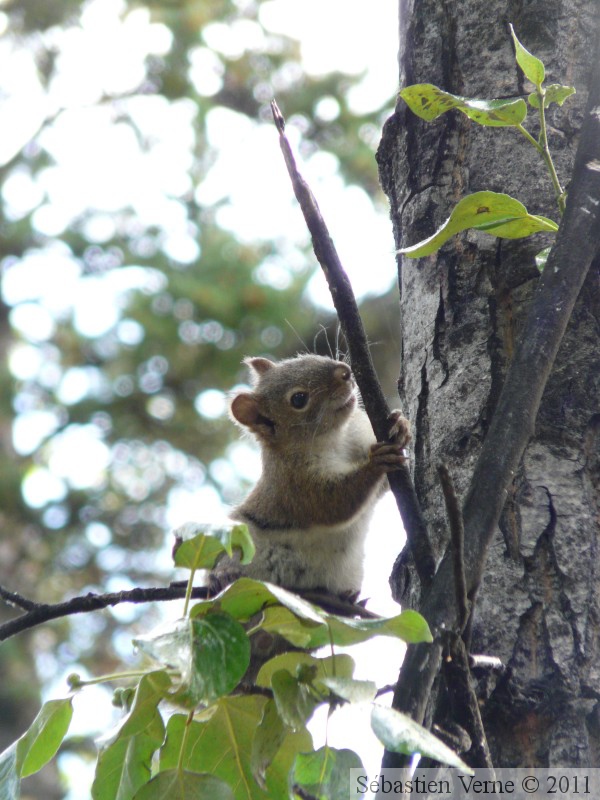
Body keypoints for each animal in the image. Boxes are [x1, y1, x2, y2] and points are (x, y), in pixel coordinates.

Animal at [211, 354, 412, 596]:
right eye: (298, 399)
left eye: (309, 358)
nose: (344, 372)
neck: (335, 439)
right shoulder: (293, 482)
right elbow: (331, 503)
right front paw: (375, 464)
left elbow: (382, 487)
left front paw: (400, 425)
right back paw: (223, 576)